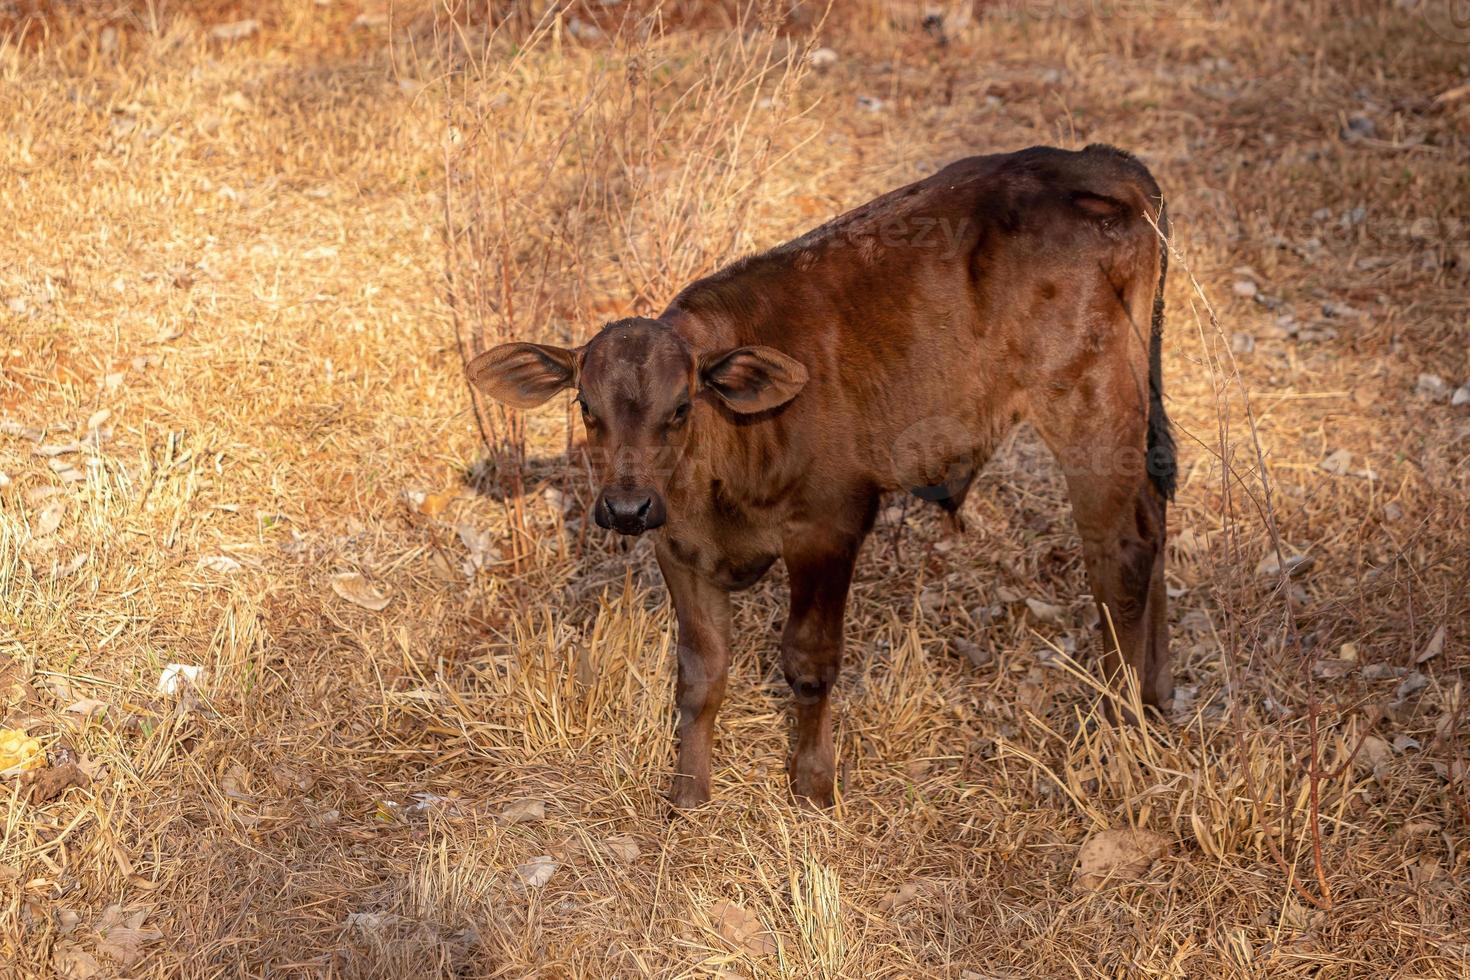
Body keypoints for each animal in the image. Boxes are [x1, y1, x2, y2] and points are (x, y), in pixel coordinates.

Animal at [470, 143, 1170, 805]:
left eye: (680, 407)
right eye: (586, 407)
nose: (624, 508)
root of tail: (1096, 163)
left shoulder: (829, 530)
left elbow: (808, 661)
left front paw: (812, 783)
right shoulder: (678, 547)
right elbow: (700, 674)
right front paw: (689, 791)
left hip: (1090, 406)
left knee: (1122, 553)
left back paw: (1118, 729)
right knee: (1155, 521)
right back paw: (1156, 702)